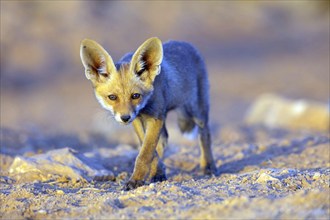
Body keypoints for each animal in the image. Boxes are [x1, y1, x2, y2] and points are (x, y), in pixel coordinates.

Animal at [80, 37, 217, 190]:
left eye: (135, 96)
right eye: (112, 97)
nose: (125, 118)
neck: (146, 104)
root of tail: (185, 43)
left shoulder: (155, 117)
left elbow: (145, 153)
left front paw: (136, 180)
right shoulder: (138, 119)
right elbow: (150, 150)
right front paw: (157, 172)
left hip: (197, 110)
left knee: (205, 135)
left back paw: (209, 166)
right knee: (164, 140)